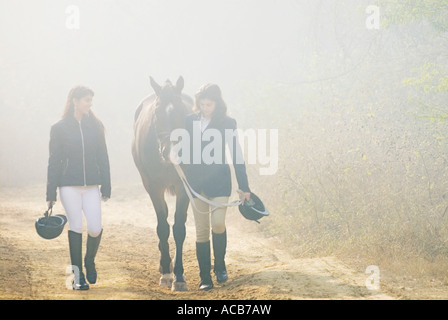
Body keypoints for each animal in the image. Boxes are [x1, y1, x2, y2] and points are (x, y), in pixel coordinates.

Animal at [130, 76, 192, 292]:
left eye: (182, 111)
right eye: (157, 112)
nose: (170, 150)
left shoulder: (184, 186)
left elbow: (179, 227)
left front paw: (179, 277)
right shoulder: (154, 186)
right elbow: (163, 226)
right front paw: (166, 273)